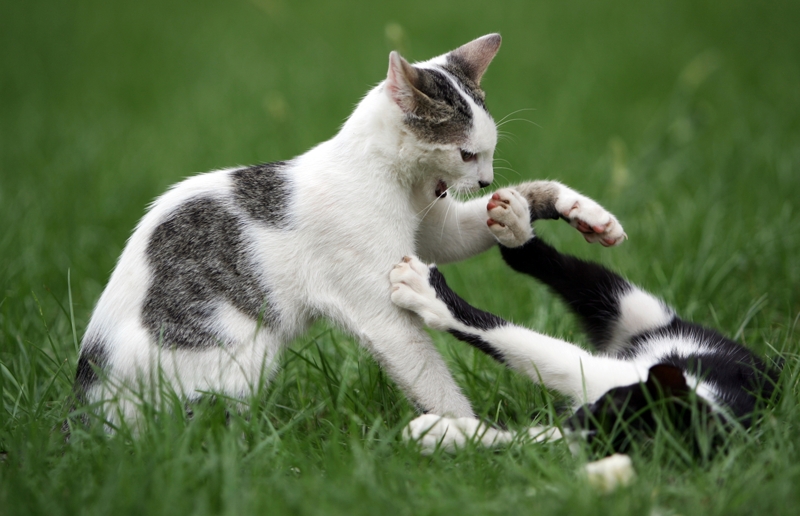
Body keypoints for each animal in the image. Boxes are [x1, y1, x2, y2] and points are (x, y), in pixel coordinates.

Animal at [390, 185, 780, 452]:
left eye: (605, 415)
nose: (574, 419)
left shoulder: (592, 387)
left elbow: (522, 348)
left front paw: (441, 433)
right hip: (630, 302)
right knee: (551, 266)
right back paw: (516, 226)